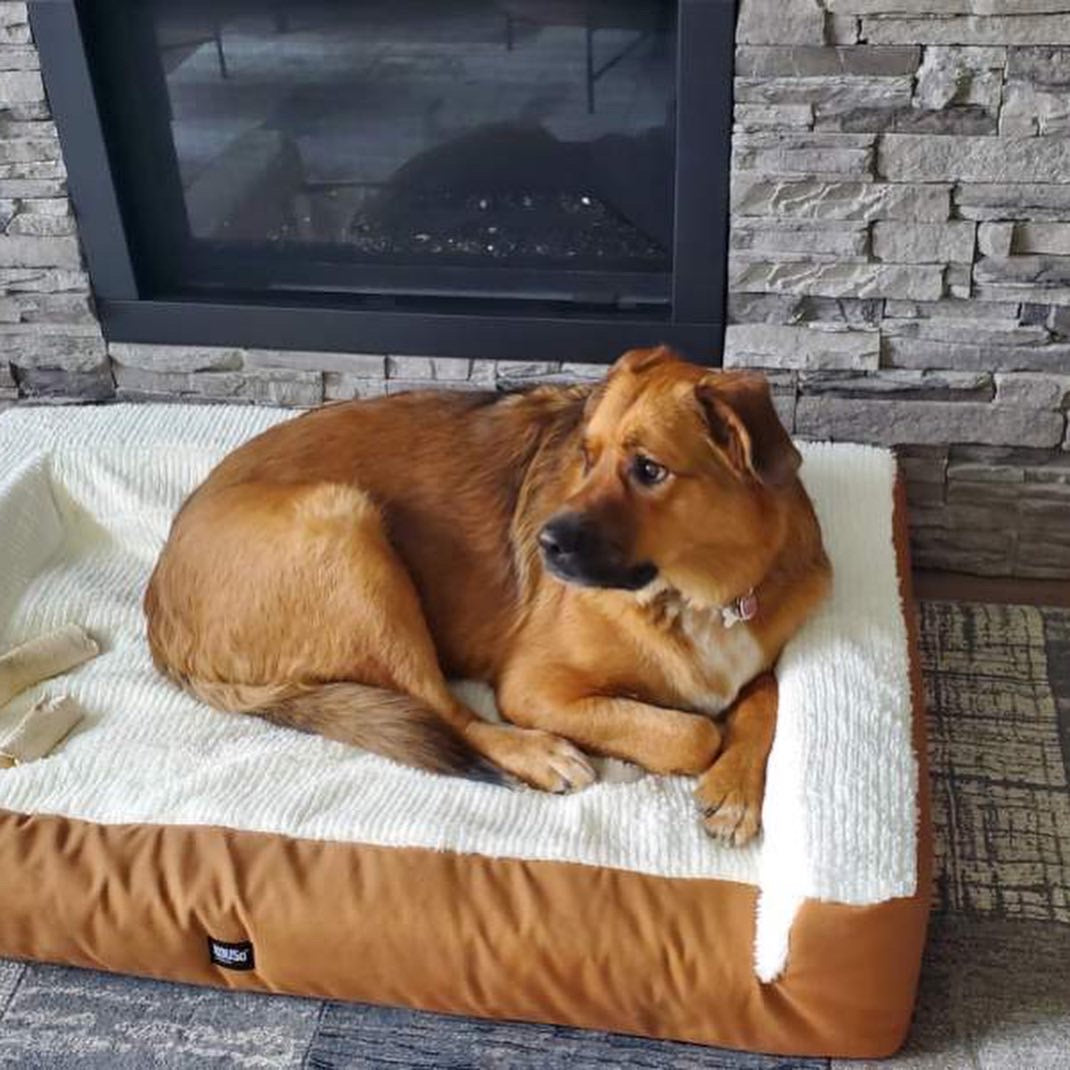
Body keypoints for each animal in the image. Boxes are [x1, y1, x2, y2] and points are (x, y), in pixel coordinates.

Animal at [144, 348, 826, 843]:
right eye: (586, 456)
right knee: (446, 713)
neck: (699, 594)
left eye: (649, 470)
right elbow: (693, 734)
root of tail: (159, 611)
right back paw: (538, 753)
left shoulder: (755, 656)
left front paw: (736, 791)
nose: (545, 543)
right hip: (350, 536)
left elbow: (762, 700)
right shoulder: (533, 687)